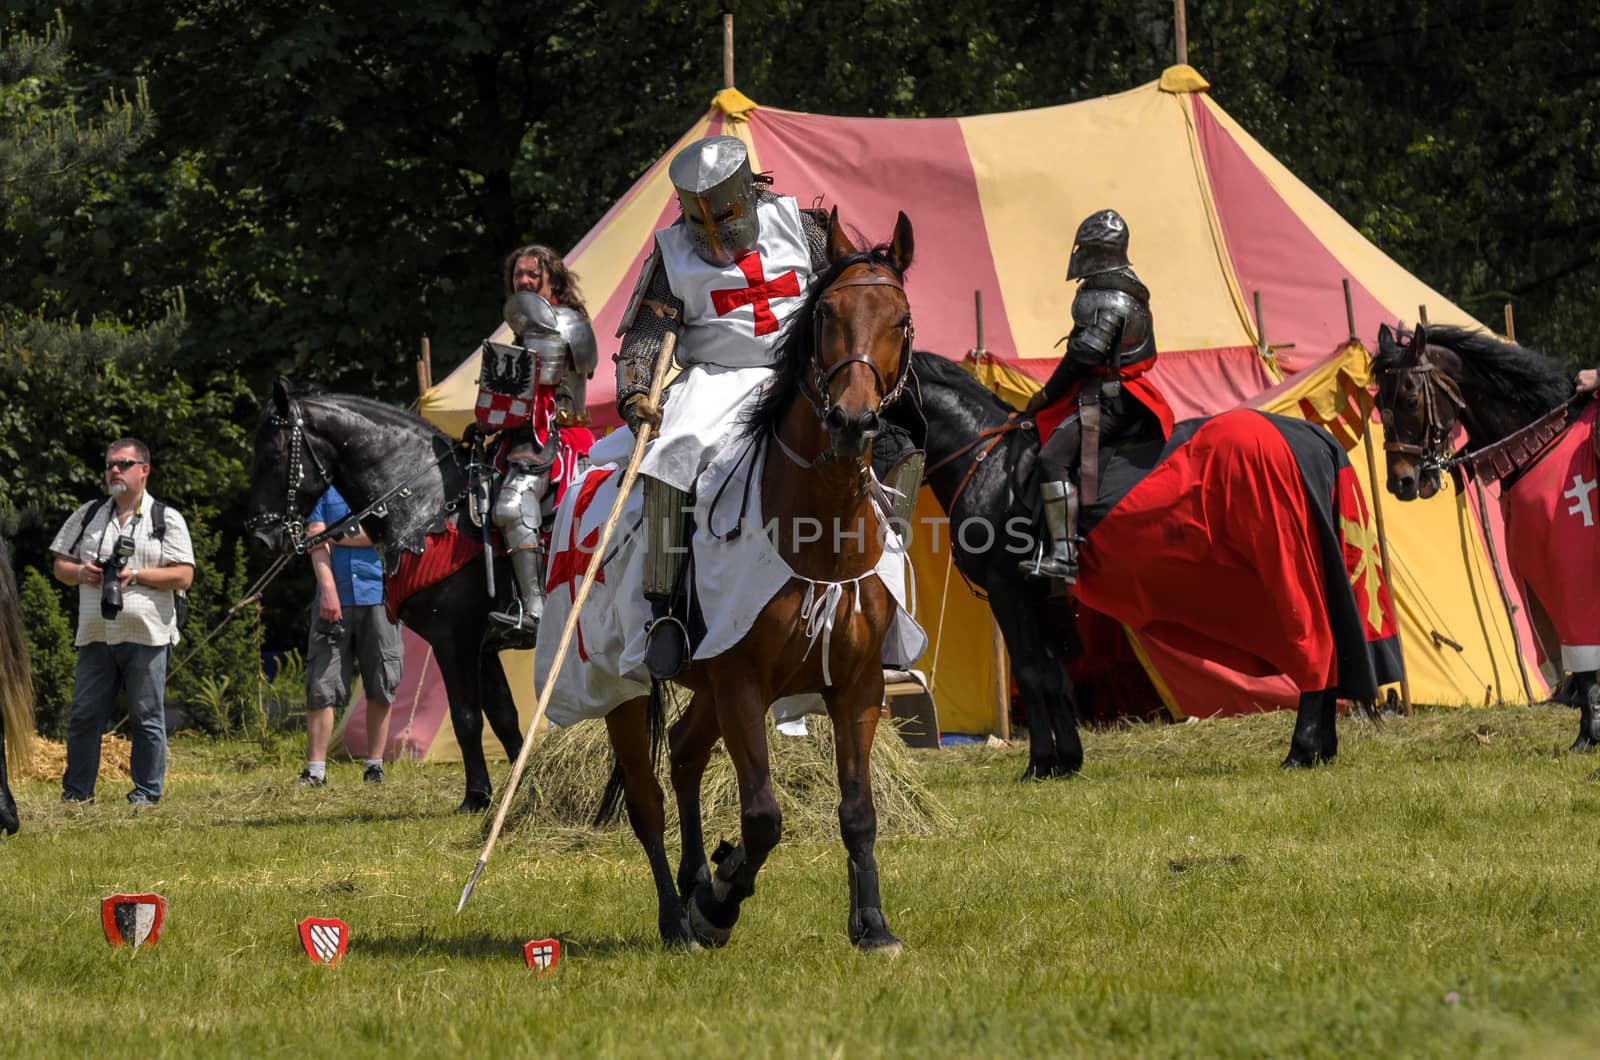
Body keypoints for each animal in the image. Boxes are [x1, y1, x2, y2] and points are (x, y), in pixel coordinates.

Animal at [246, 384, 518, 813]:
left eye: (273, 456)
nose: (260, 536)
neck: (430, 508)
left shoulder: (455, 640)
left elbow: (466, 717)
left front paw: (475, 798)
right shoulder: (484, 646)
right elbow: (504, 717)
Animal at [560, 209, 915, 954]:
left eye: (899, 320)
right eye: (826, 314)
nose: (852, 420)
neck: (818, 532)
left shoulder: (858, 685)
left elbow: (858, 812)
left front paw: (871, 924)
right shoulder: (744, 683)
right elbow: (762, 818)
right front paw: (718, 906)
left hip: (708, 690)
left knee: (685, 755)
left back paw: (699, 877)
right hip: (620, 687)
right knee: (647, 802)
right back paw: (678, 916)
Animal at [896, 352, 1408, 778]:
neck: (988, 462)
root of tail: (1311, 436)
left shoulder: (1009, 590)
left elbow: (1030, 670)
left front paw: (1039, 764)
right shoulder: (1040, 594)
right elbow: (1054, 673)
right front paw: (1067, 762)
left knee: (1316, 646)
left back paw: (1301, 750)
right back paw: (1322, 748)